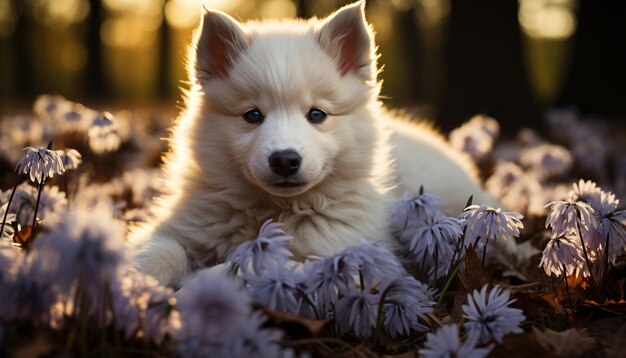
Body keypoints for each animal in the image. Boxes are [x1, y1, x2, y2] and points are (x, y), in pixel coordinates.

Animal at [132, 2, 498, 288]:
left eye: (317, 114)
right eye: (253, 115)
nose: (284, 160)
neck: (275, 209)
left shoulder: (346, 260)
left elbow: (258, 264)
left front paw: (200, 282)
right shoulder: (178, 226)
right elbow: (162, 250)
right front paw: (134, 280)